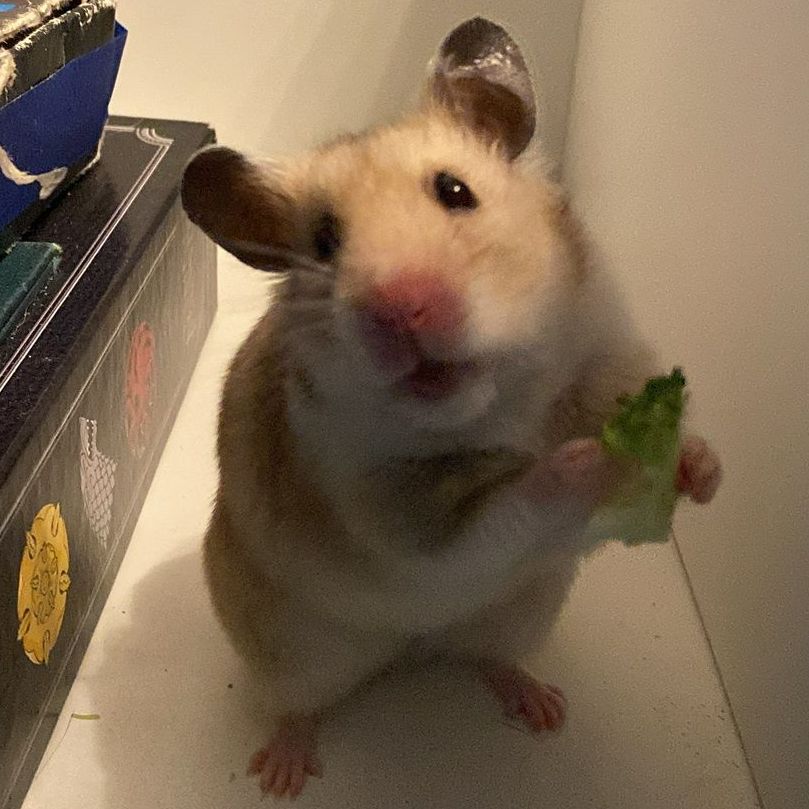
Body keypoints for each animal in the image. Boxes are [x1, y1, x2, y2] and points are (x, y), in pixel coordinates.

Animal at [181, 17, 722, 798]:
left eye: (455, 190)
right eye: (324, 242)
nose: (400, 305)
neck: (498, 402)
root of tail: (410, 647)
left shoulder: (607, 356)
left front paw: (692, 464)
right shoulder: (400, 520)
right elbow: (502, 508)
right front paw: (586, 459)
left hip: (519, 616)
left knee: (487, 658)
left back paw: (544, 708)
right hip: (289, 653)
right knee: (297, 707)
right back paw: (280, 774)